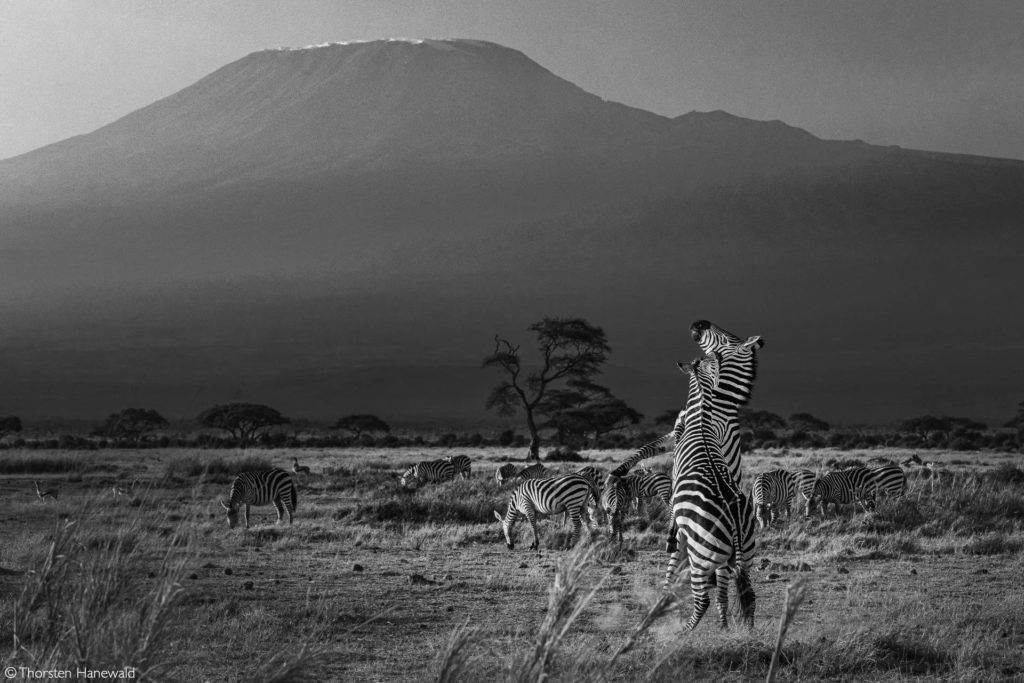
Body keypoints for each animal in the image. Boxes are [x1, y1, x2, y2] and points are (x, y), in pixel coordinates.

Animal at [667, 356, 757, 634]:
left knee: (703, 599)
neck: (702, 421)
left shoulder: (673, 484)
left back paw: (684, 631)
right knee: (748, 594)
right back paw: (745, 633)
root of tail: (734, 520)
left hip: (701, 556)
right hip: (744, 554)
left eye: (680, 422)